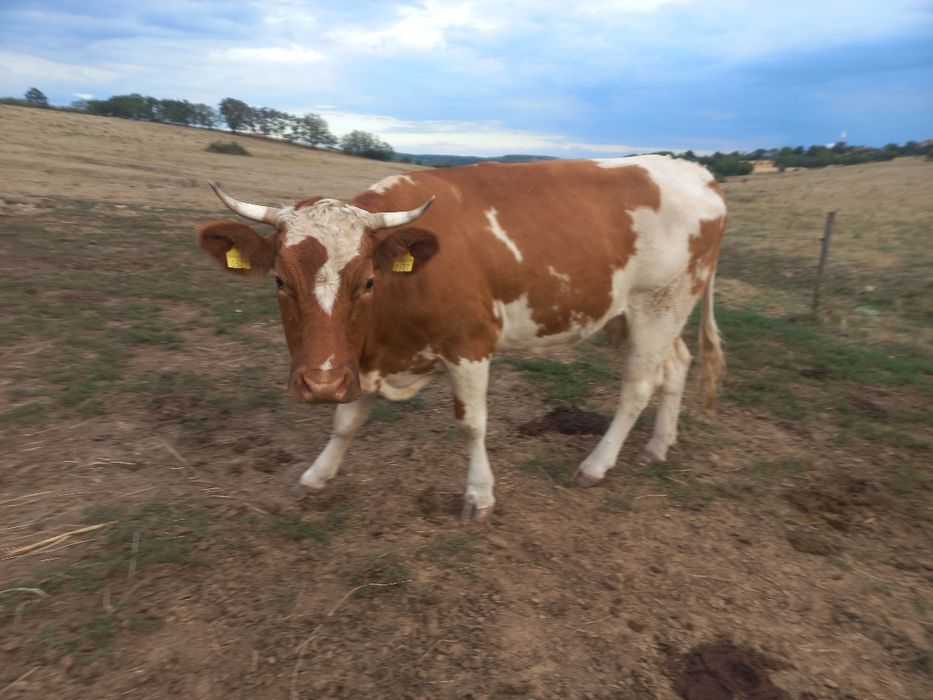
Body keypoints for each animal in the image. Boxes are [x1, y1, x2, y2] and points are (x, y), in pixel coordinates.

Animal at [196, 155, 726, 522]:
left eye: (367, 281)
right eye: (280, 281)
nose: (320, 383)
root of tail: (698, 174)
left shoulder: (470, 345)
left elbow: (472, 425)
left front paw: (479, 494)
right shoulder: (362, 356)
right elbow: (345, 422)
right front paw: (316, 475)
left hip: (660, 304)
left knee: (638, 387)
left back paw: (598, 464)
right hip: (633, 314)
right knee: (676, 365)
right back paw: (659, 445)